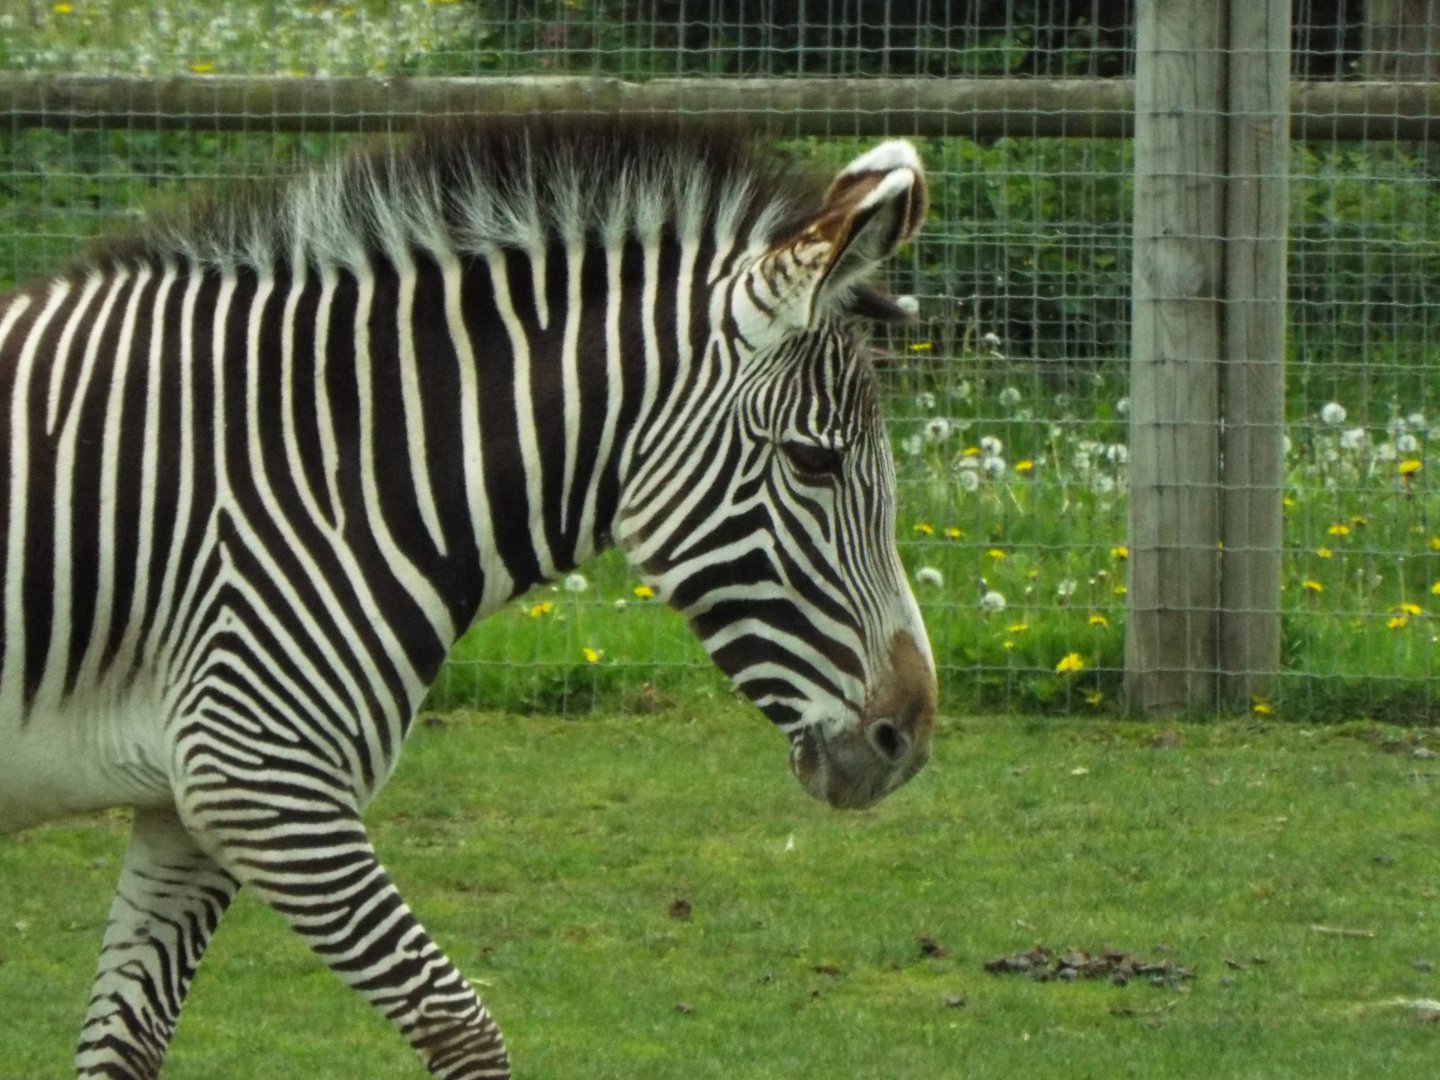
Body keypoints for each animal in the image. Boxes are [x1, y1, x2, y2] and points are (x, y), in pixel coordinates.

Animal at [0, 117, 936, 1078]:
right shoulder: (258, 780)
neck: (326, 477)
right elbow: (460, 1023)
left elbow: (124, 1045)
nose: (907, 739)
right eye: (813, 460)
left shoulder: (183, 808)